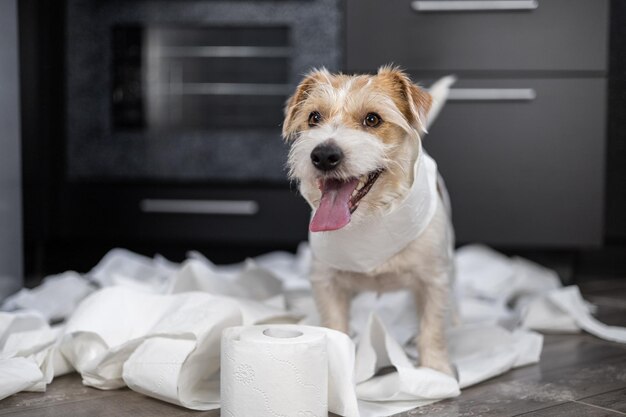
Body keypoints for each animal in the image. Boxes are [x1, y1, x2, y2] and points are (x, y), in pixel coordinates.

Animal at [282, 66, 454, 374]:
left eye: (372, 119)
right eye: (314, 117)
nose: (323, 155)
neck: (370, 222)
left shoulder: (434, 280)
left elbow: (432, 328)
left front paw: (436, 372)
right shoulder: (327, 282)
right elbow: (334, 326)